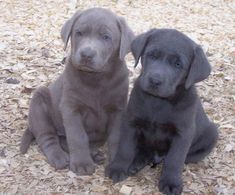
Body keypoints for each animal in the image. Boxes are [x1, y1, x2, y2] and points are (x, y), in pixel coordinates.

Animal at [20, 7, 134, 175]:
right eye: (79, 33)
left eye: (106, 37)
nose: (86, 54)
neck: (96, 79)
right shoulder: (71, 108)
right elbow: (77, 136)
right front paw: (82, 164)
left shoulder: (118, 110)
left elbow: (116, 137)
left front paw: (116, 164)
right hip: (38, 101)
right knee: (47, 137)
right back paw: (59, 157)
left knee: (62, 139)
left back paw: (94, 154)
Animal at [106, 29, 218, 195]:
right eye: (152, 55)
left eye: (178, 64)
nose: (155, 80)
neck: (159, 102)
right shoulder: (131, 122)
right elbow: (125, 148)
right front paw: (118, 167)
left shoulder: (183, 133)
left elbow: (174, 160)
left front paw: (171, 182)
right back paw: (136, 162)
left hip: (212, 133)